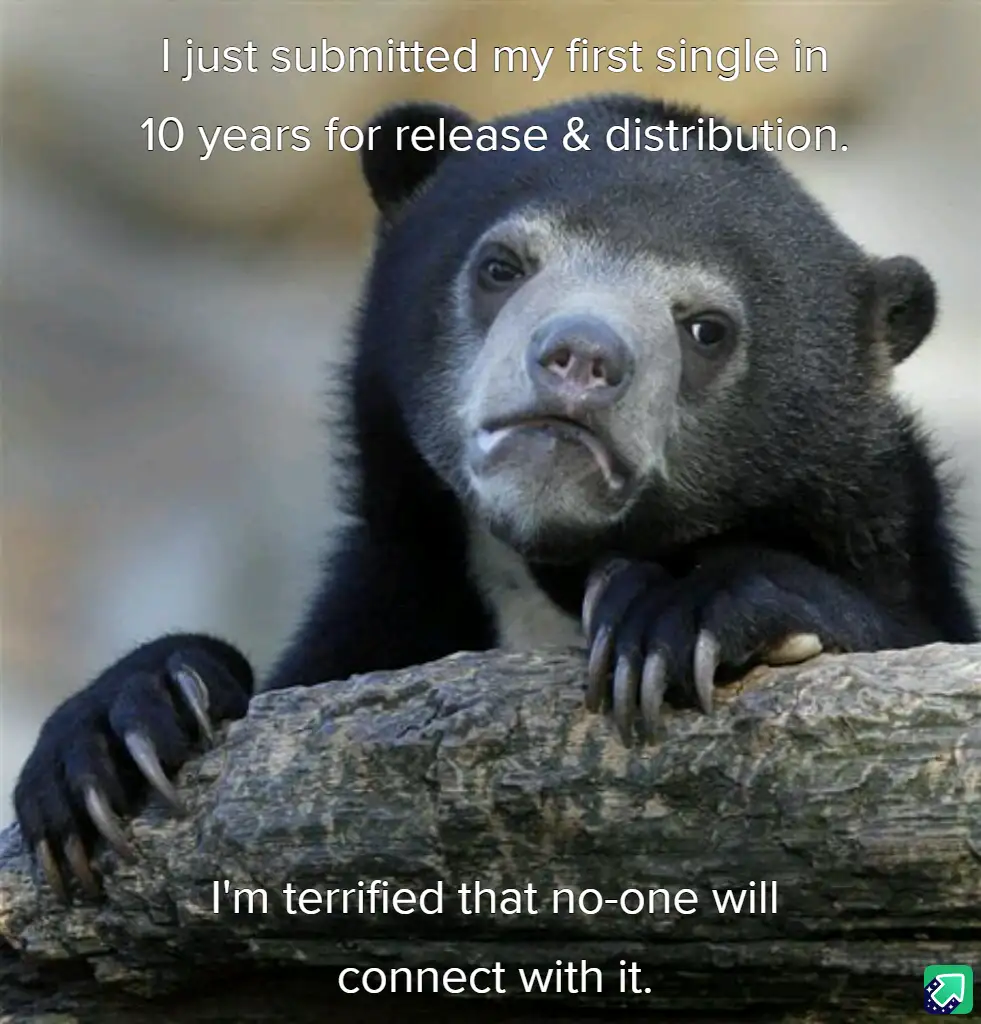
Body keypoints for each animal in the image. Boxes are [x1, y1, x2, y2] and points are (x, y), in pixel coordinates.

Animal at [13, 94, 979, 900]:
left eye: (706, 329)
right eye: (501, 266)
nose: (581, 358)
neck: (546, 573)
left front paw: (672, 614)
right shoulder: (396, 592)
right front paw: (117, 735)